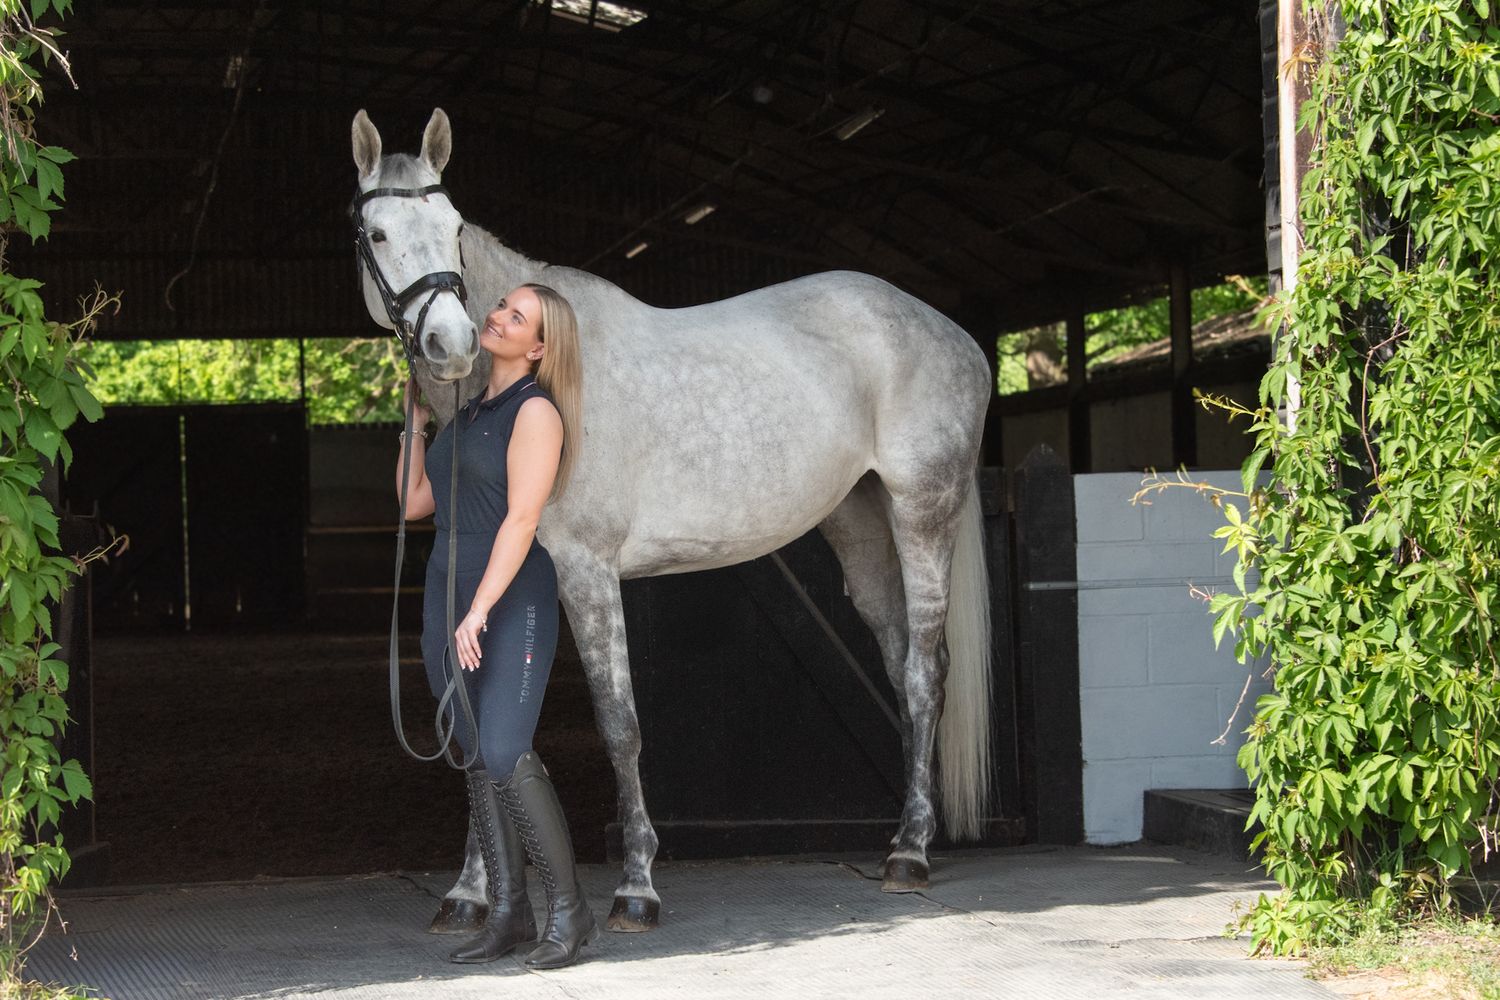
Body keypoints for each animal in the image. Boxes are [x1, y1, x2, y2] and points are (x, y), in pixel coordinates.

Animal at [350, 108, 997, 933]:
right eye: (377, 235)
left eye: (454, 226)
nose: (452, 343)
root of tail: (952, 333)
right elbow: (481, 721)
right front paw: (468, 894)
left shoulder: (587, 571)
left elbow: (619, 723)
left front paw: (637, 886)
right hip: (860, 526)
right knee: (899, 663)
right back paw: (900, 838)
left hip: (923, 512)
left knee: (924, 672)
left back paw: (911, 855)